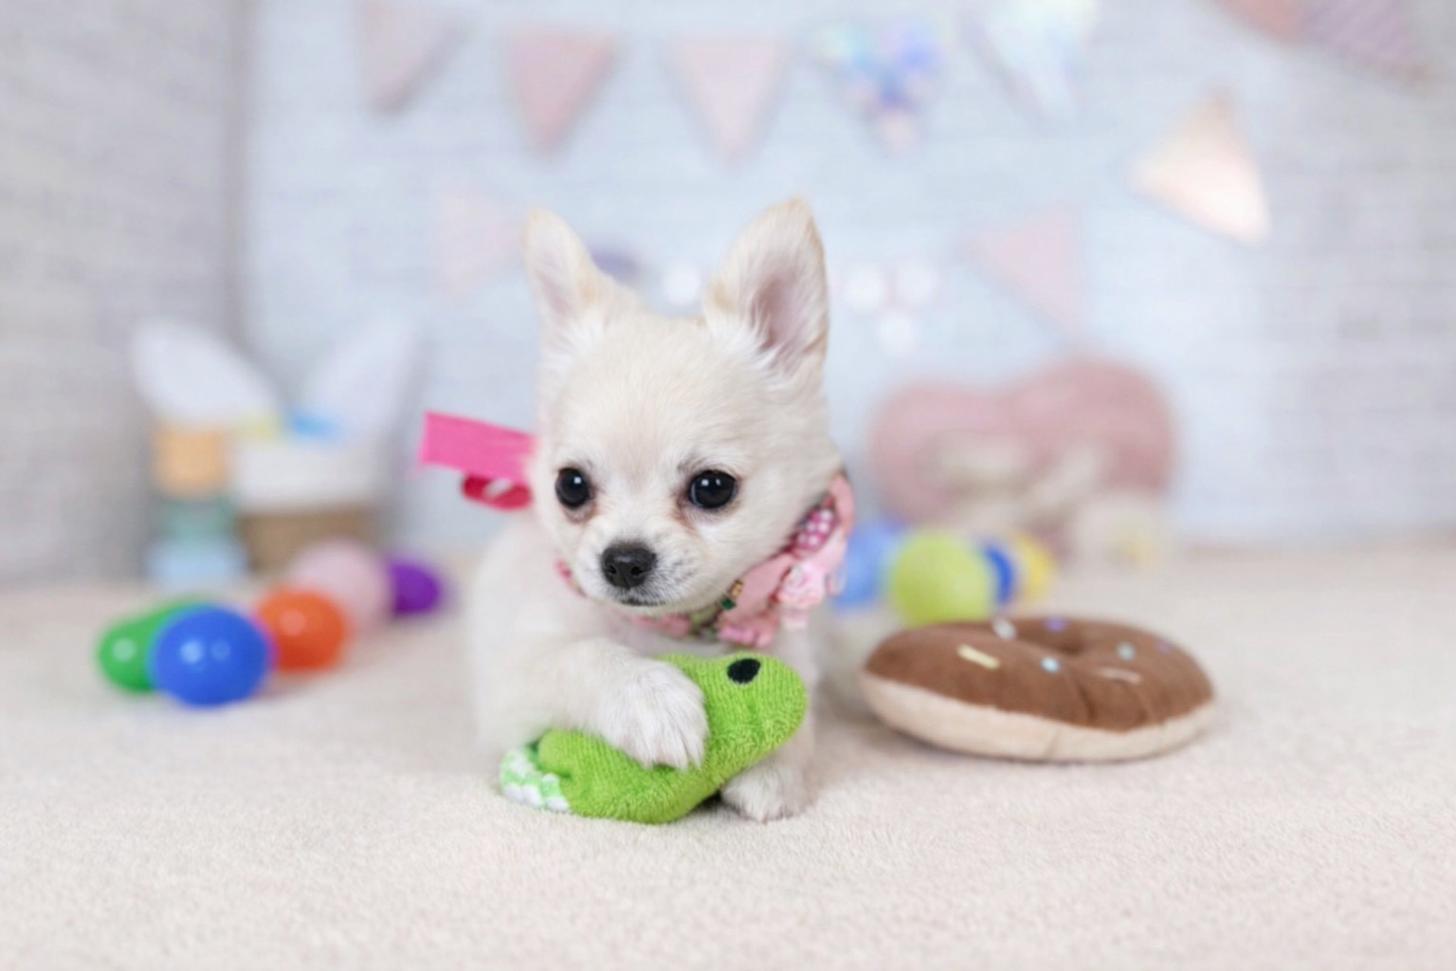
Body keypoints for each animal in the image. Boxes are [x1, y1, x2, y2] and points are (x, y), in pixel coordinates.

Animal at [468, 200, 842, 821]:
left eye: (712, 488)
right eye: (570, 486)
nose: (623, 560)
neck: (673, 631)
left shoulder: (794, 650)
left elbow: (804, 711)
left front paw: (775, 769)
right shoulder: (511, 682)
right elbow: (578, 656)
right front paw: (650, 700)